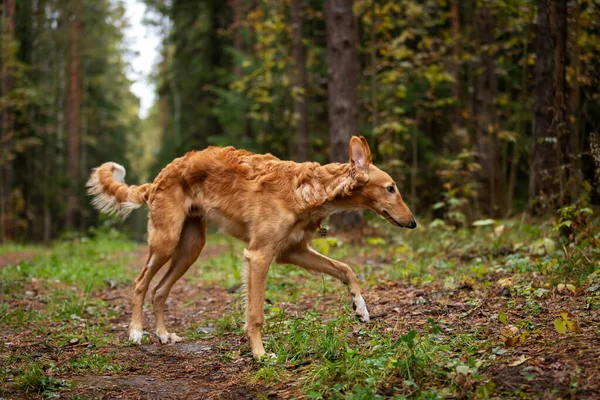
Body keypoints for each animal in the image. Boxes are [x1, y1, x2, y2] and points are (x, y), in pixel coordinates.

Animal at [86, 137, 414, 356]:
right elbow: (255, 314)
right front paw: (259, 355)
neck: (309, 190)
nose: (413, 223)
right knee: (141, 284)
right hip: (165, 241)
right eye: (391, 188)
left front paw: (361, 307)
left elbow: (346, 268)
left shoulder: (291, 252)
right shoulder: (259, 255)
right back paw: (136, 332)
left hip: (191, 248)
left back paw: (164, 335)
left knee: (159, 290)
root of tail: (159, 177)